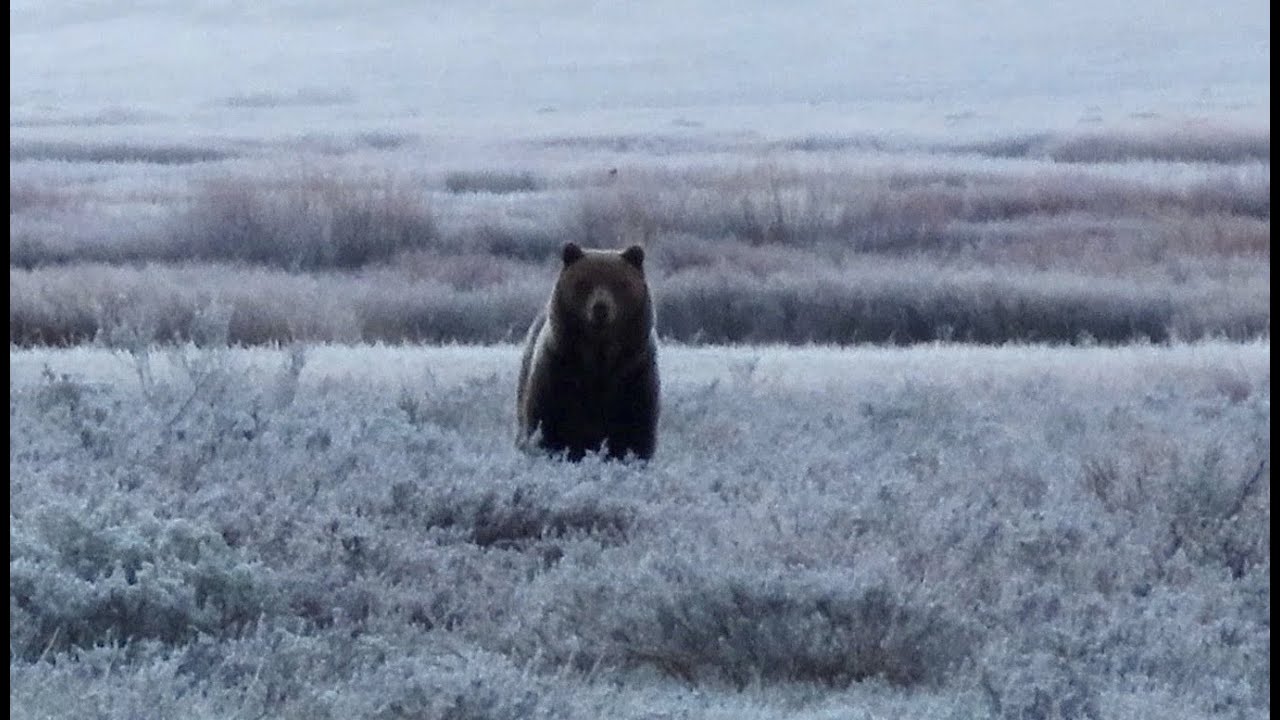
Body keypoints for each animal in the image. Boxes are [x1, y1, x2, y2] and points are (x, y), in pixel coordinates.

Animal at [517, 242, 659, 461]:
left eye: (619, 283)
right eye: (584, 283)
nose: (600, 308)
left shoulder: (635, 376)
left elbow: (635, 436)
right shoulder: (557, 372)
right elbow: (546, 427)